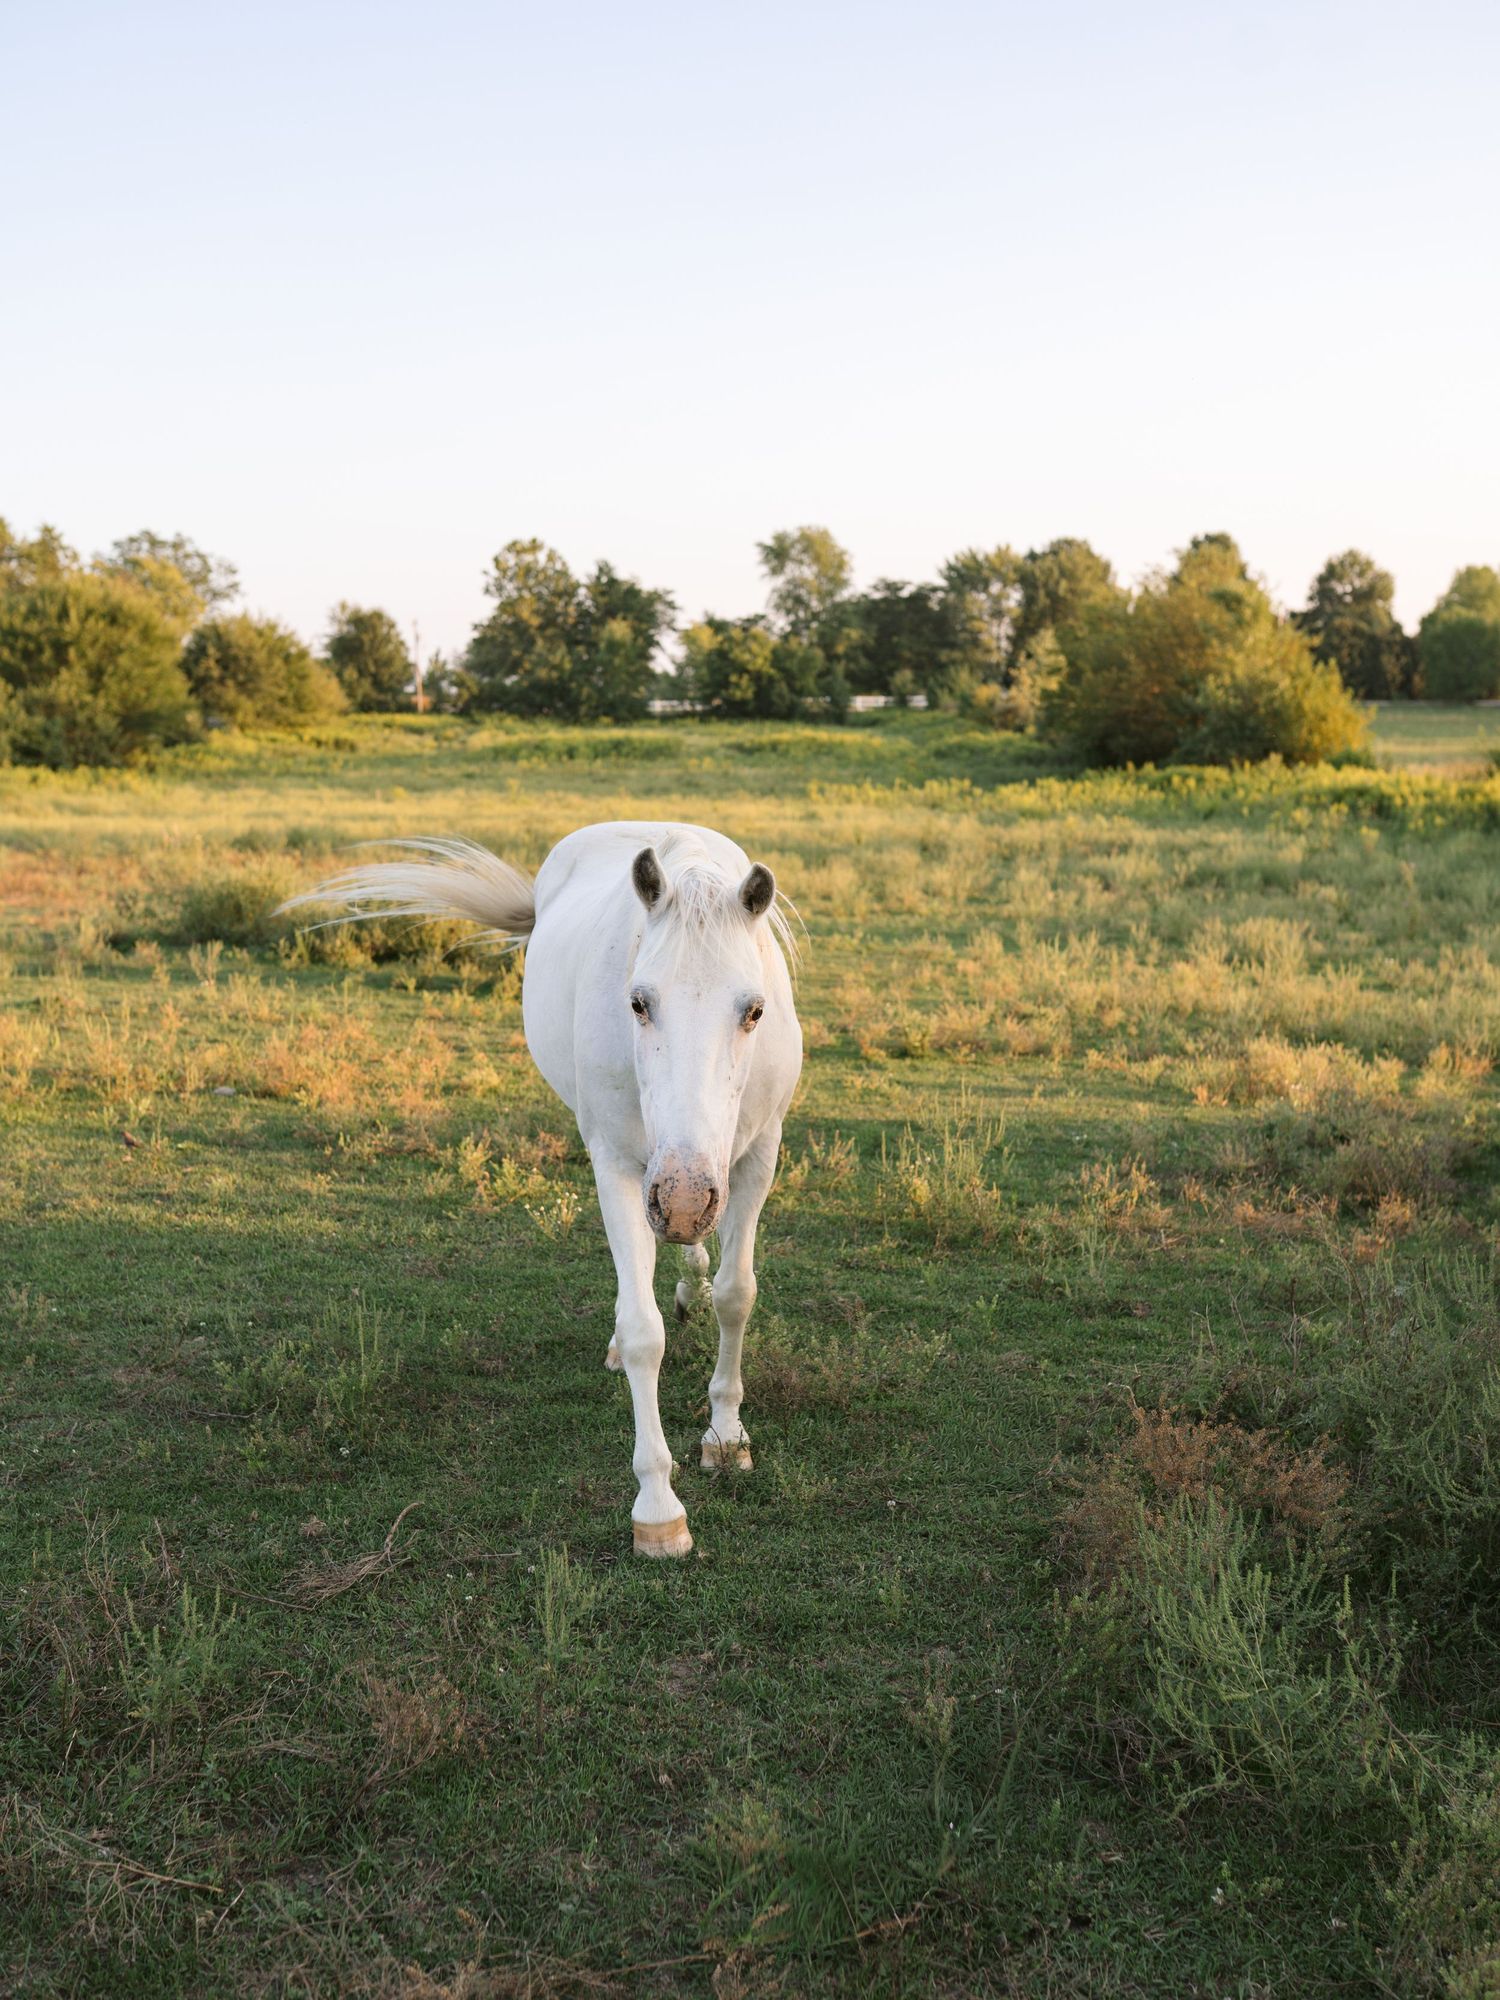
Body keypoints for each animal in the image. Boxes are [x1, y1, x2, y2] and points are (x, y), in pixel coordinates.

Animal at [280, 821, 802, 1558]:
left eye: (754, 1010)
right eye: (638, 1002)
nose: (682, 1199)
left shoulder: (755, 1157)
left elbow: (737, 1295)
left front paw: (726, 1436)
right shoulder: (622, 1165)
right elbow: (641, 1330)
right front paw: (658, 1508)